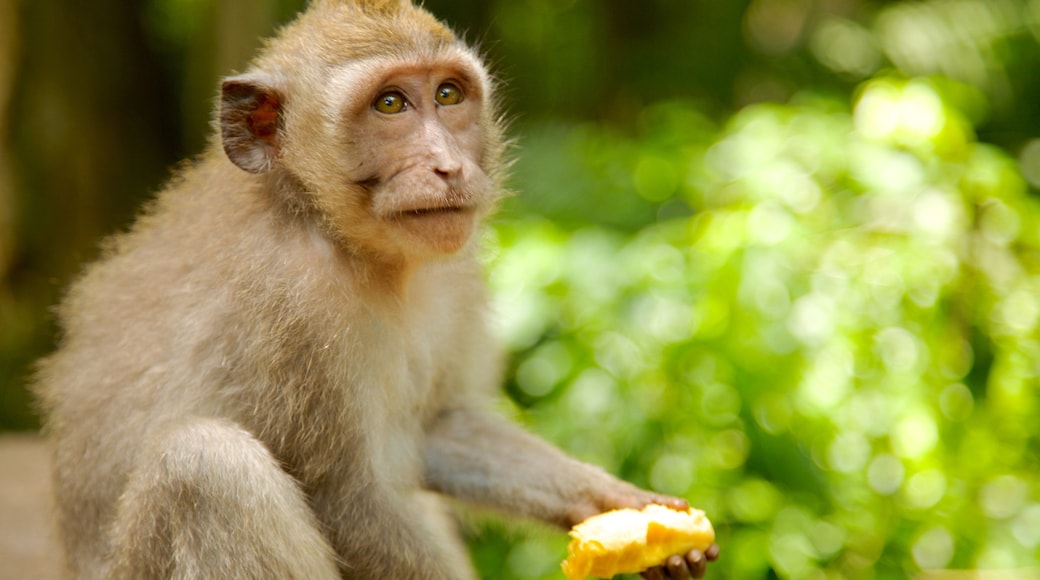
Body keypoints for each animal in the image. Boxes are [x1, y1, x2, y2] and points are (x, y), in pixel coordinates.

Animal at [32, 1, 720, 578]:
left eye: (447, 95)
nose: (449, 166)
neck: (338, 233)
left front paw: (621, 505)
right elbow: (346, 498)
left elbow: (438, 426)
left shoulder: (454, 270)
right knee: (204, 468)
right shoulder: (293, 303)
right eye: (390, 105)